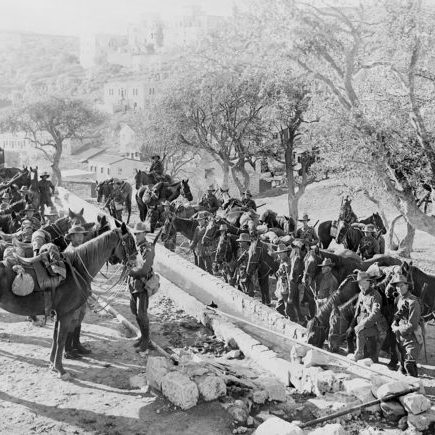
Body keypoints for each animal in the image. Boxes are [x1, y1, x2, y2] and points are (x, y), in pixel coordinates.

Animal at [0, 221, 137, 378]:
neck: (77, 269)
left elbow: (55, 338)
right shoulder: (66, 314)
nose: (136, 261)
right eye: (130, 241)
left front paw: (52, 364)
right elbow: (61, 339)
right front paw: (60, 369)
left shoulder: (58, 313)